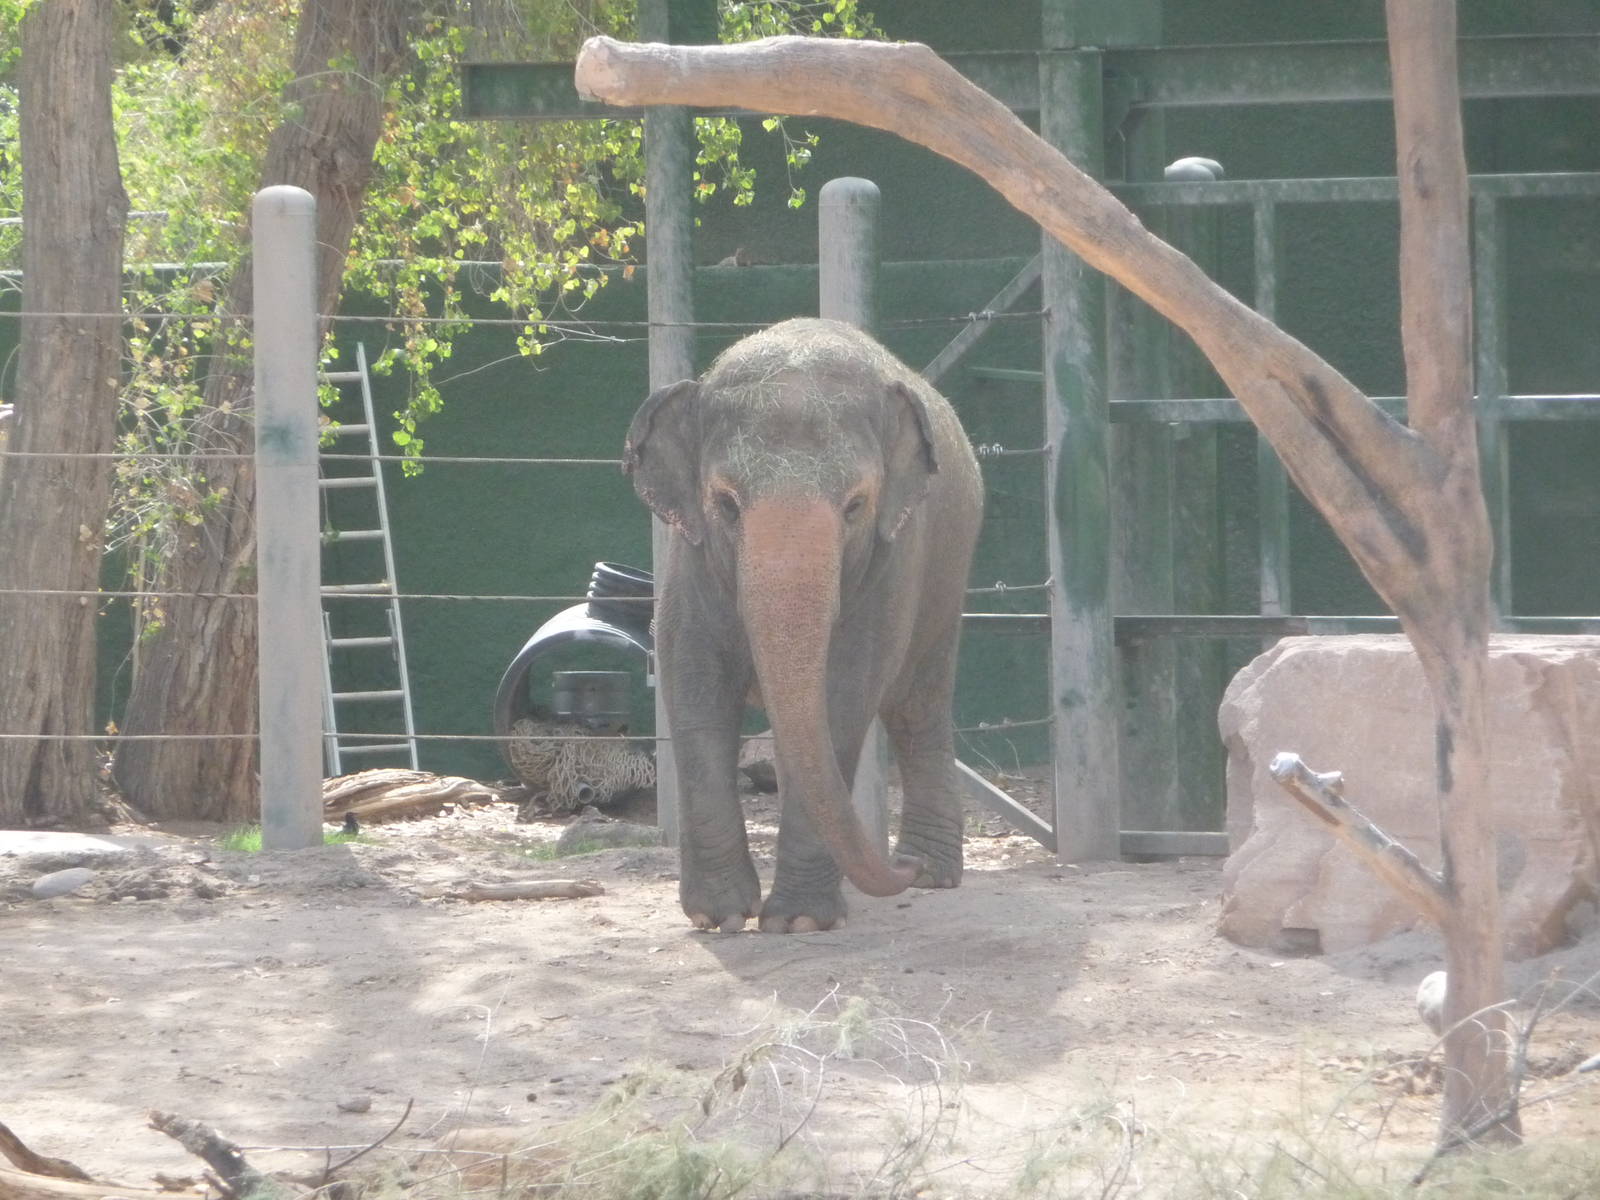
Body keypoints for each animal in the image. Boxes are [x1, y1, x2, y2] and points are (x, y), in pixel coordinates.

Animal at [623, 317, 984, 933]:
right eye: (726, 503)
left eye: (856, 506)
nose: (900, 870)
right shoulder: (688, 561)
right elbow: (693, 684)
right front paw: (720, 917)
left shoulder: (894, 559)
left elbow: (844, 693)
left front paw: (799, 922)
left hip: (948, 572)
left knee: (917, 704)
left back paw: (932, 873)